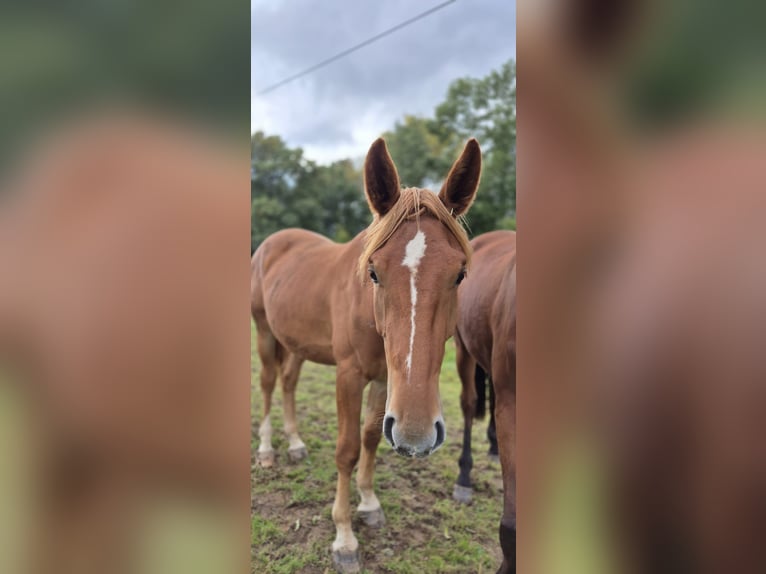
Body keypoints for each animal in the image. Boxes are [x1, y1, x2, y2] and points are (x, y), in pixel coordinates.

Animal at [250, 137, 480, 572]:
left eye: (460, 274)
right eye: (373, 272)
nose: (416, 437)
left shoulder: (385, 379)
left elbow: (372, 437)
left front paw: (370, 504)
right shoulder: (349, 376)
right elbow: (347, 450)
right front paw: (344, 538)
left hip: (297, 343)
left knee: (288, 383)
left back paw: (295, 444)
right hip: (266, 332)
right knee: (269, 384)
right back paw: (268, 449)